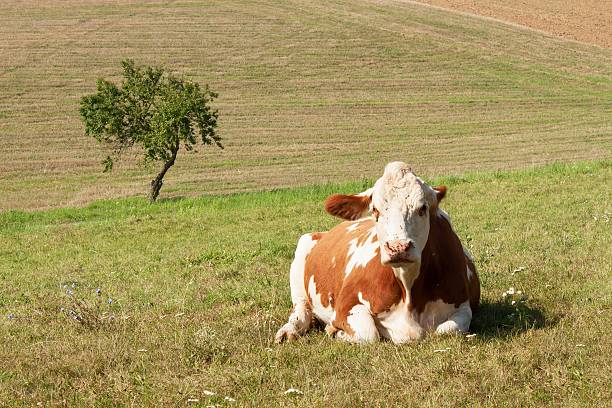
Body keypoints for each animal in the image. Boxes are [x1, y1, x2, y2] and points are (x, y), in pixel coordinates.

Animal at [274, 161, 480, 342]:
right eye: (375, 210)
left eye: (423, 208)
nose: (398, 247)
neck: (408, 288)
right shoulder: (345, 306)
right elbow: (368, 333)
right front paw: (335, 330)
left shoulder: (463, 306)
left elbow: (446, 330)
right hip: (301, 257)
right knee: (301, 310)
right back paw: (289, 331)